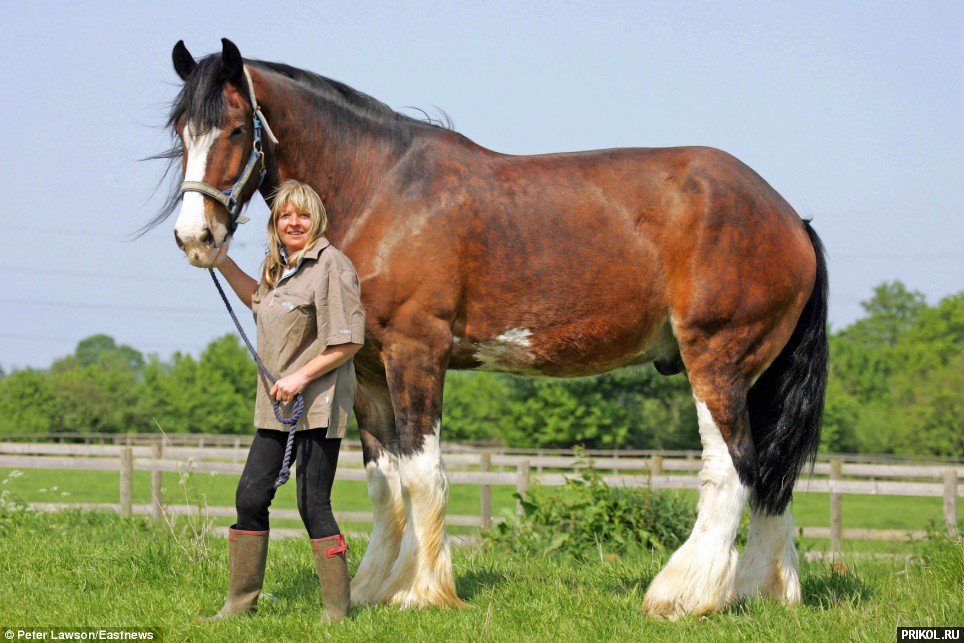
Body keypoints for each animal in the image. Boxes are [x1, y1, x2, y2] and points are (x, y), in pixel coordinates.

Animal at [158, 38, 828, 618]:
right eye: (180, 131)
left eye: (236, 128)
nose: (195, 239)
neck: (382, 189)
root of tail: (788, 217)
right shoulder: (368, 367)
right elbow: (384, 482)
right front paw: (373, 587)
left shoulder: (416, 352)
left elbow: (423, 472)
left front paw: (423, 591)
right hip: (753, 374)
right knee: (770, 476)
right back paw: (764, 591)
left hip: (715, 360)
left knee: (732, 469)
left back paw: (683, 594)